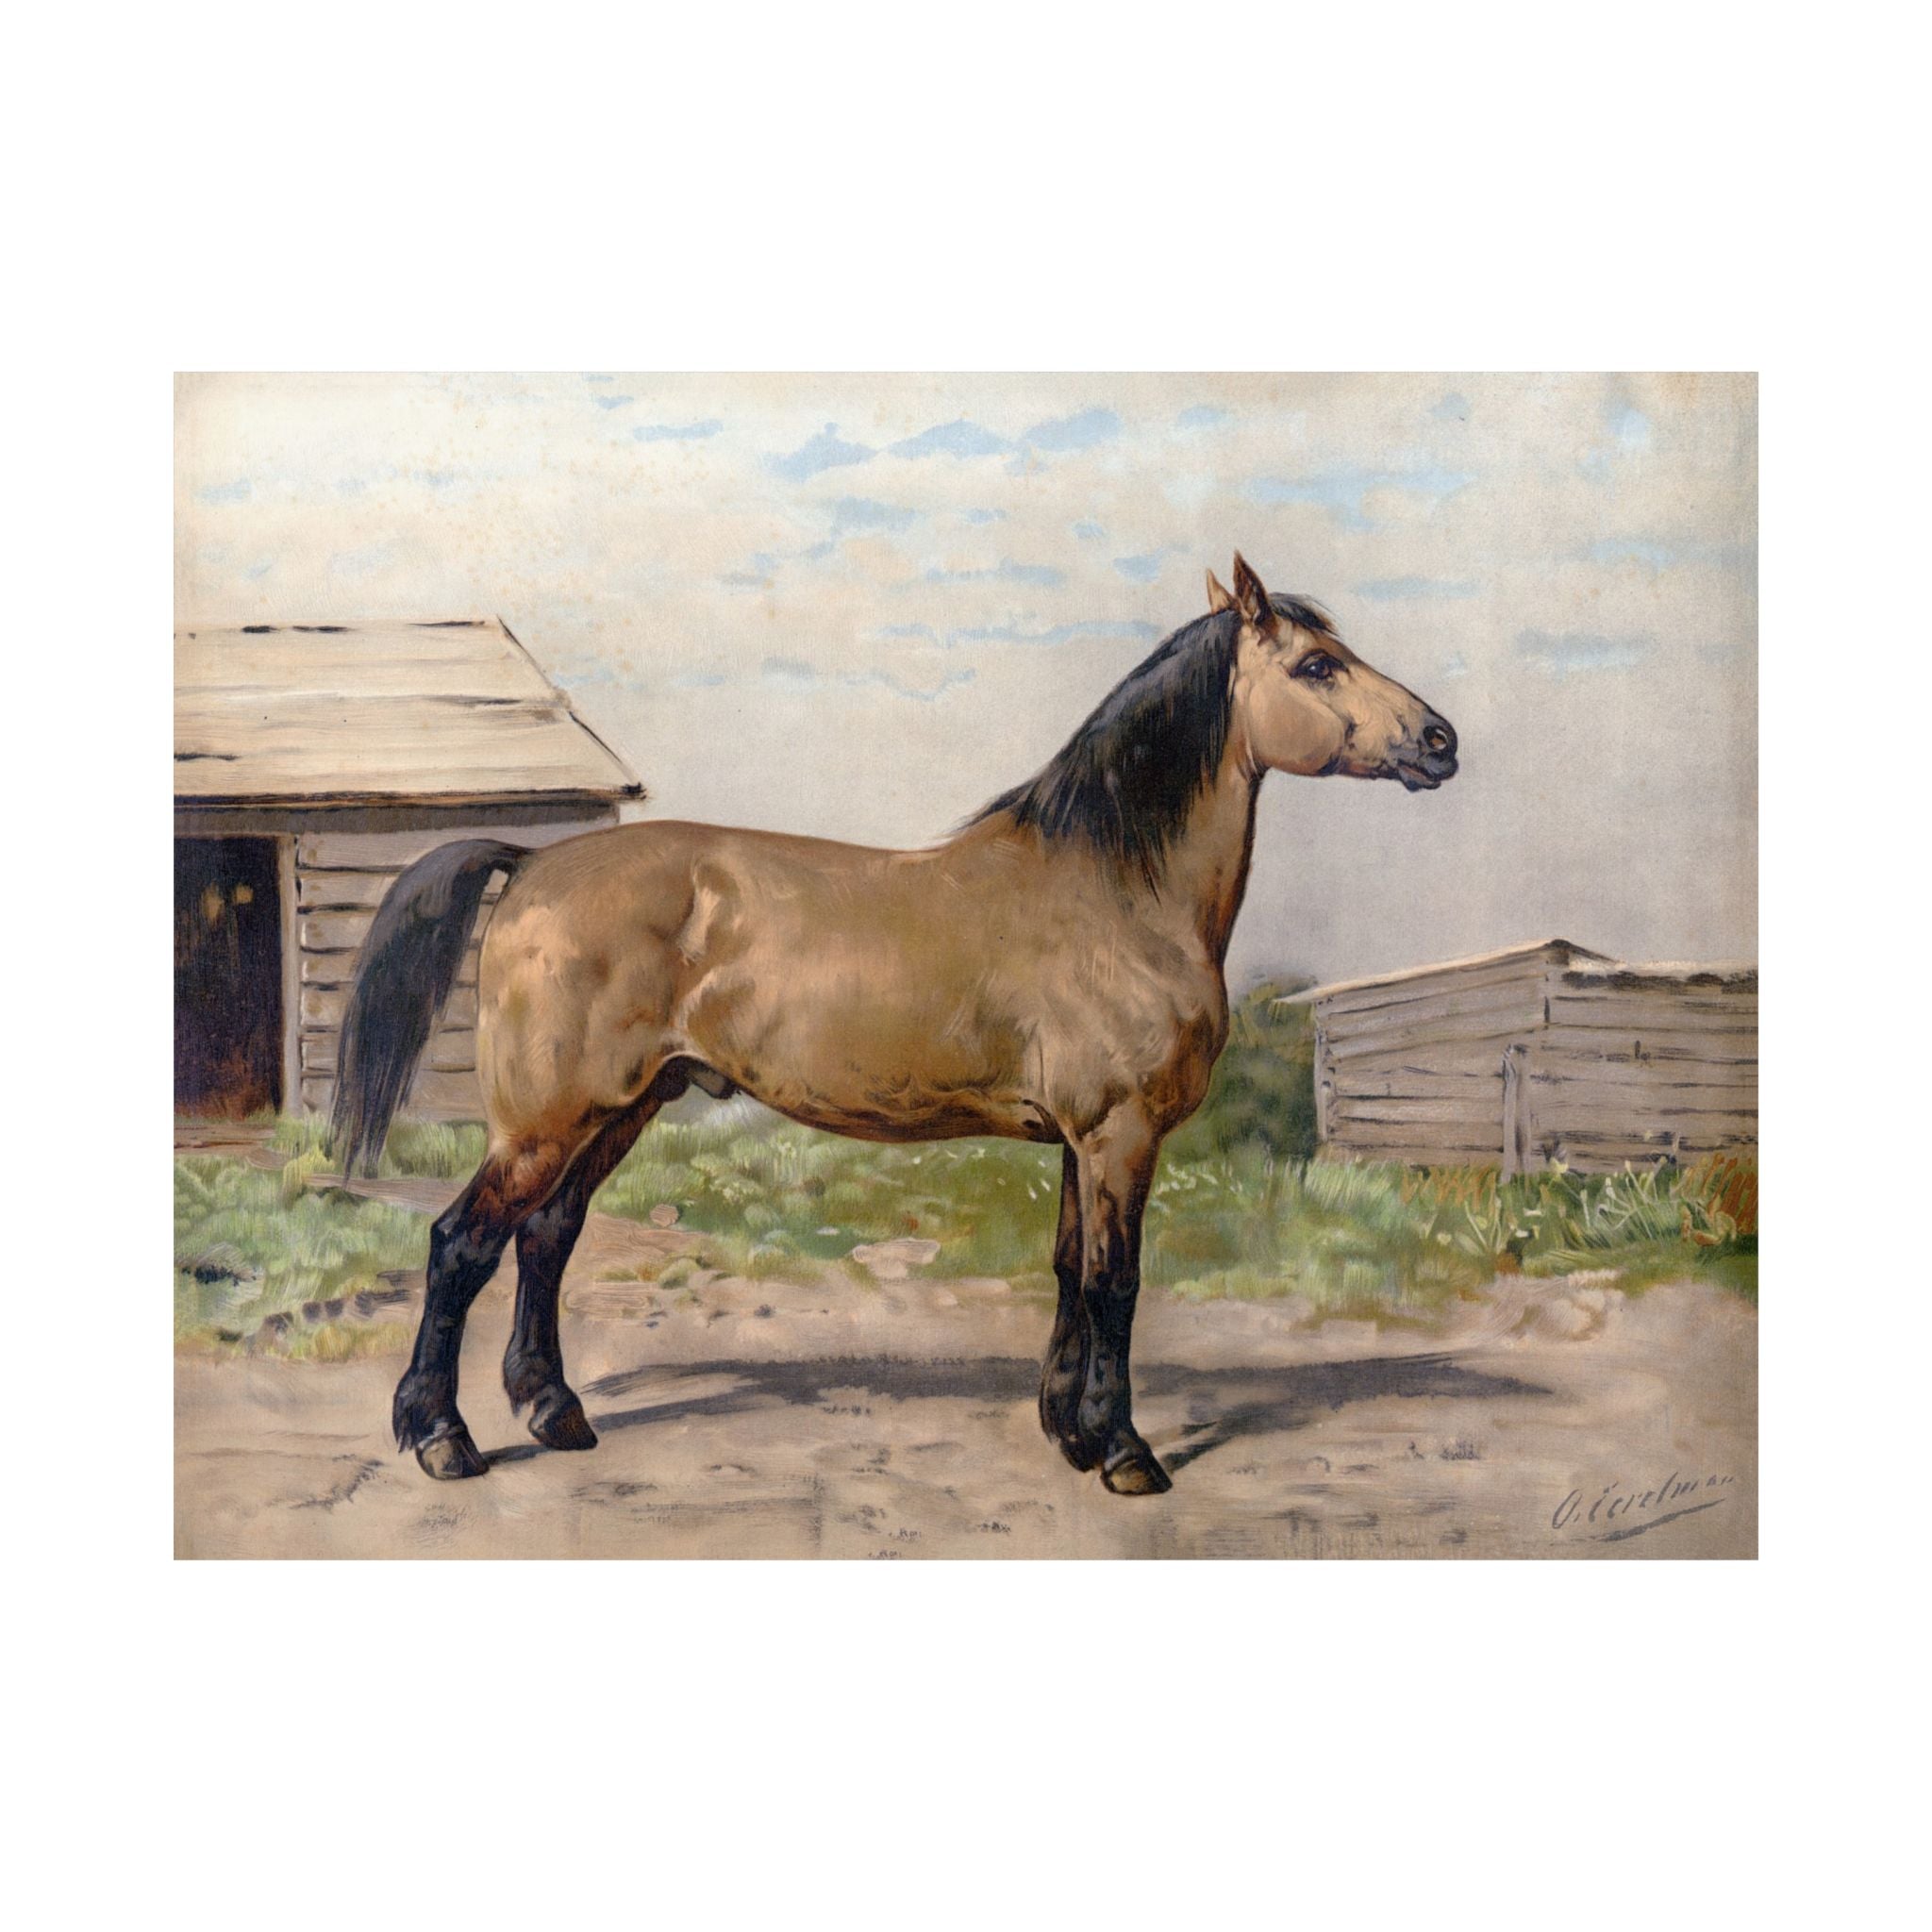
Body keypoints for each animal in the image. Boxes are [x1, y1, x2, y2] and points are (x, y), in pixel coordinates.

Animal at [331, 553, 1458, 1495]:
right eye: (1316, 664)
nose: (1440, 741)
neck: (1112, 890)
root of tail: (533, 863)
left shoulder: (1078, 1140)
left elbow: (1067, 1271)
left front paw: (1069, 1431)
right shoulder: (1119, 1134)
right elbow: (1117, 1283)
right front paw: (1125, 1453)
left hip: (622, 1108)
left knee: (547, 1238)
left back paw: (556, 1413)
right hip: (545, 1122)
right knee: (462, 1244)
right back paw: (442, 1439)